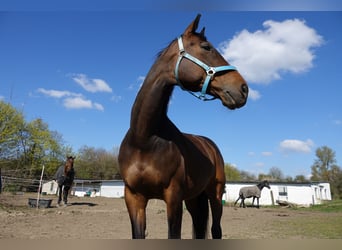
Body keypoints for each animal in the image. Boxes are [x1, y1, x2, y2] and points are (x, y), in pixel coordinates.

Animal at [119, 14, 247, 239]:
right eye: (206, 47)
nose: (243, 89)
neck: (144, 139)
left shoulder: (173, 197)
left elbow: (174, 234)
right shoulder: (134, 197)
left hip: (214, 194)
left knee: (215, 230)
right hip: (194, 198)